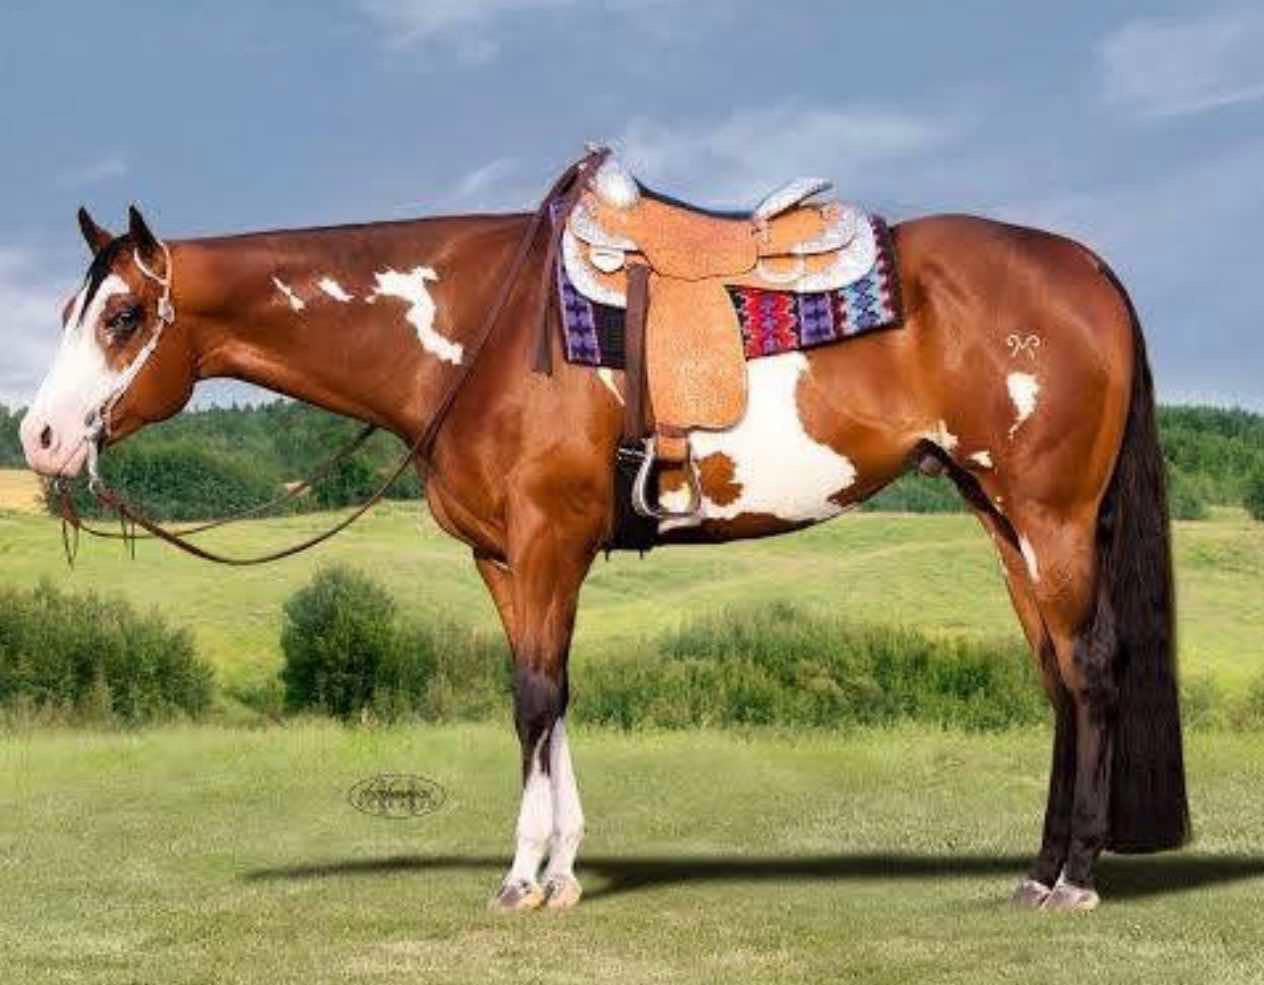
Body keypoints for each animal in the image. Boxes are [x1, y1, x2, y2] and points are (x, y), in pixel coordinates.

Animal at [17, 156, 1183, 915]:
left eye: (122, 316)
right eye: (77, 311)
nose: (39, 436)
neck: (475, 330)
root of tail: (1088, 272)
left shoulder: (546, 542)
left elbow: (534, 697)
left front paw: (522, 880)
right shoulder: (504, 558)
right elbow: (550, 693)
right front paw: (562, 868)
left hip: (1049, 515)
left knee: (1089, 667)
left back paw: (1077, 879)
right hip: (1001, 517)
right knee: (1054, 674)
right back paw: (1035, 869)